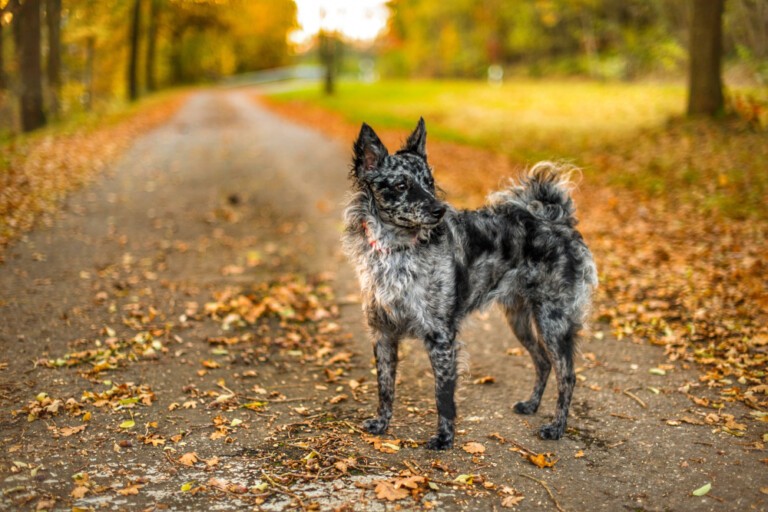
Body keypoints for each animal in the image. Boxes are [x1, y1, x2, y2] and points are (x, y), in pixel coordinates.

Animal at [344, 118, 600, 450]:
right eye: (401, 185)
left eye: (429, 182)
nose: (439, 210)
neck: (398, 249)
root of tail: (558, 221)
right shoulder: (383, 332)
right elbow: (385, 386)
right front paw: (382, 423)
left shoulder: (441, 336)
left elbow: (443, 394)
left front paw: (444, 438)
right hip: (520, 319)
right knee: (543, 362)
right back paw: (531, 405)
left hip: (552, 321)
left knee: (567, 375)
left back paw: (557, 427)